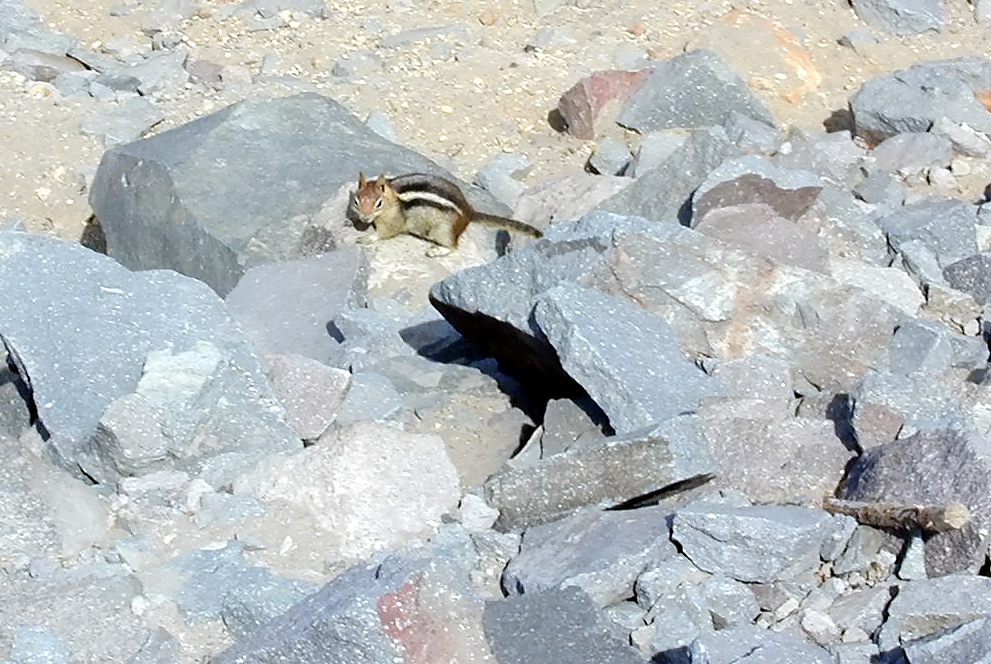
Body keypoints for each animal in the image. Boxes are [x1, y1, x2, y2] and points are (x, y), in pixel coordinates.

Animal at [350, 172, 543, 257]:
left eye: (378, 203)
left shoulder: (394, 221)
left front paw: (368, 237)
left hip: (442, 231)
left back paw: (437, 251)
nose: (364, 218)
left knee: (454, 246)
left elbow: (385, 233)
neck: (392, 197)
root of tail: (469, 213)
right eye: (356, 201)